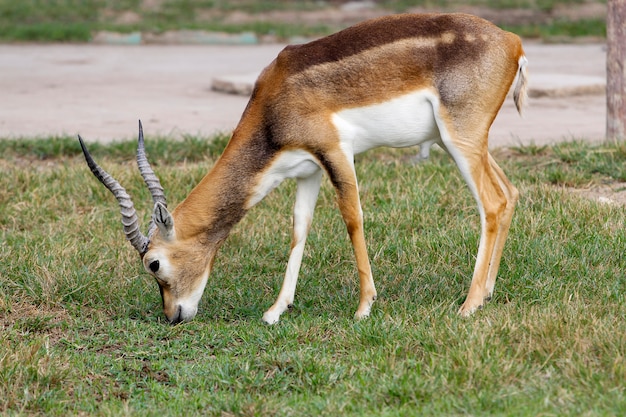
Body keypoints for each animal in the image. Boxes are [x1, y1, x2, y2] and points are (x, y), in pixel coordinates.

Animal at [78, 13, 528, 324]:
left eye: (153, 264)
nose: (174, 316)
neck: (274, 102)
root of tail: (513, 41)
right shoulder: (307, 169)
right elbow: (299, 229)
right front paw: (276, 310)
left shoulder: (336, 152)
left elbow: (352, 219)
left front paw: (364, 307)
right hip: (466, 143)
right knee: (509, 194)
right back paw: (487, 293)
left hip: (460, 140)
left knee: (490, 203)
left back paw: (468, 305)